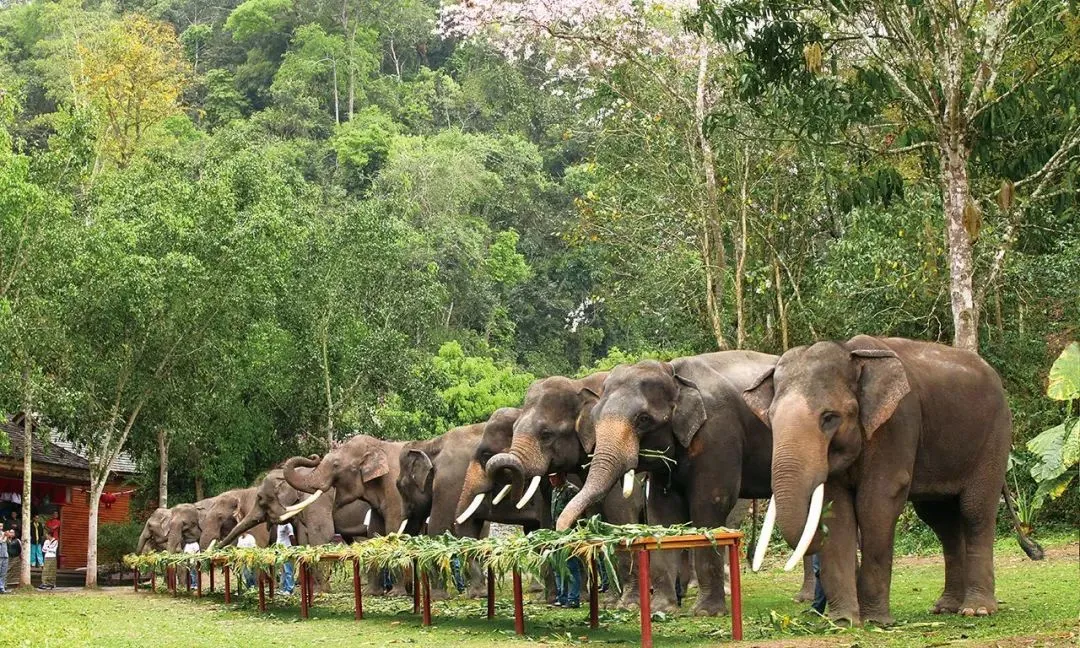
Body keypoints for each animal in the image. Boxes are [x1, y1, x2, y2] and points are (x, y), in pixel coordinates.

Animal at [552, 352, 781, 613]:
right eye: (594, 417)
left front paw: (706, 612)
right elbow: (663, 513)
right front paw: (661, 609)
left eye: (643, 419)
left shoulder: (718, 433)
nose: (563, 530)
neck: (673, 373)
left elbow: (710, 504)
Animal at [747, 336, 1041, 626]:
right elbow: (837, 510)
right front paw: (844, 621)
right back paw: (946, 608)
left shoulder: (897, 423)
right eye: (770, 419)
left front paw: (876, 622)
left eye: (829, 418)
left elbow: (876, 503)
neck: (850, 353)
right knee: (941, 520)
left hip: (994, 438)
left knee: (975, 512)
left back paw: (976, 610)